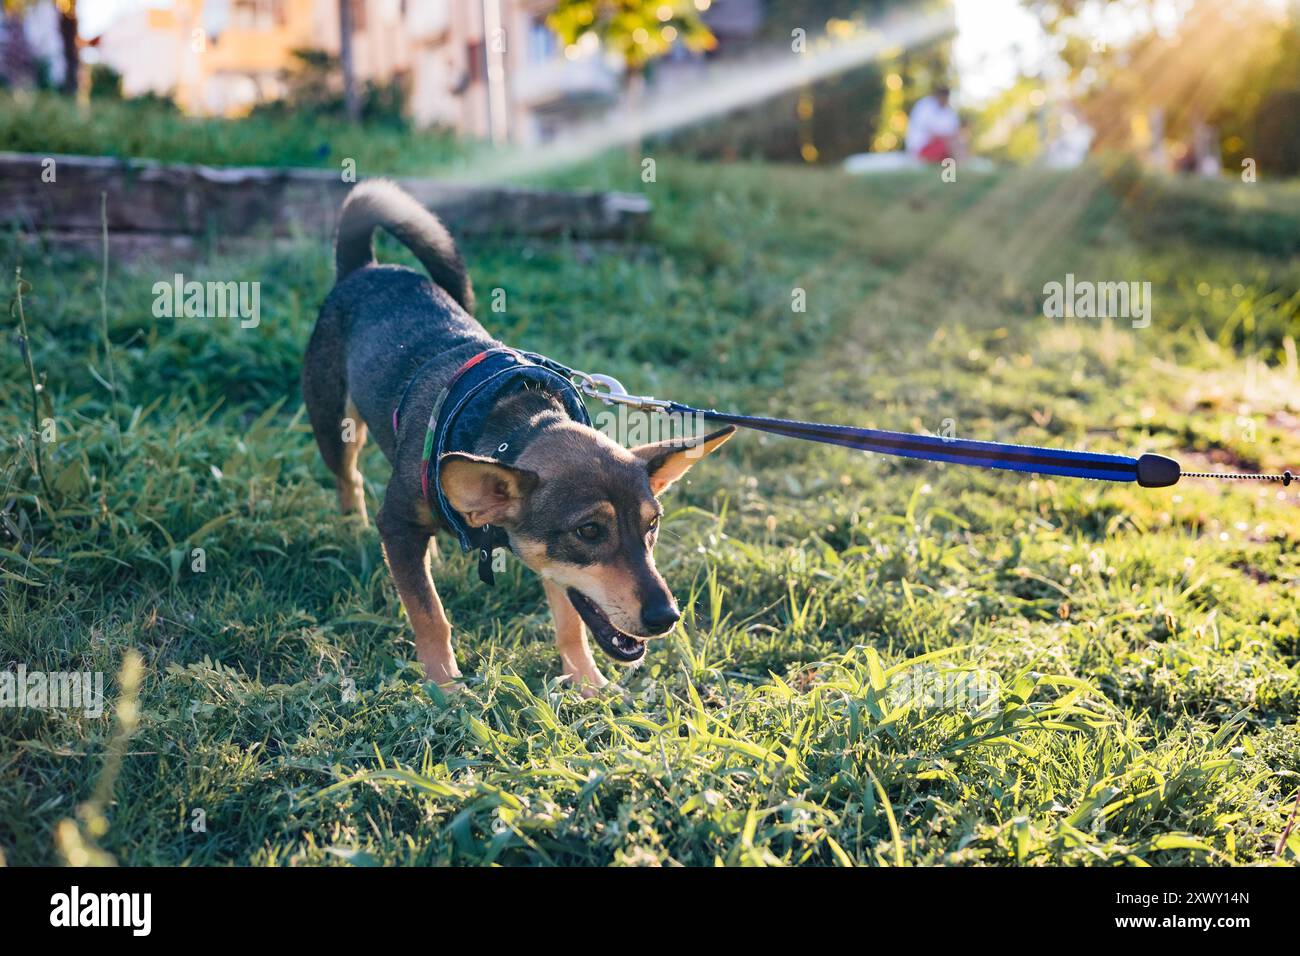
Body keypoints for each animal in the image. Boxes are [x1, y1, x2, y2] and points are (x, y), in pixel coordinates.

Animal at [301, 179, 733, 691]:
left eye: (653, 526)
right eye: (589, 531)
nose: (667, 617)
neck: (518, 426)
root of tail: (365, 266)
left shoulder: (554, 568)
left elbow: (570, 623)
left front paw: (588, 683)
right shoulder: (398, 525)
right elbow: (430, 615)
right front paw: (447, 688)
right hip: (334, 424)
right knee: (347, 476)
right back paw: (354, 522)